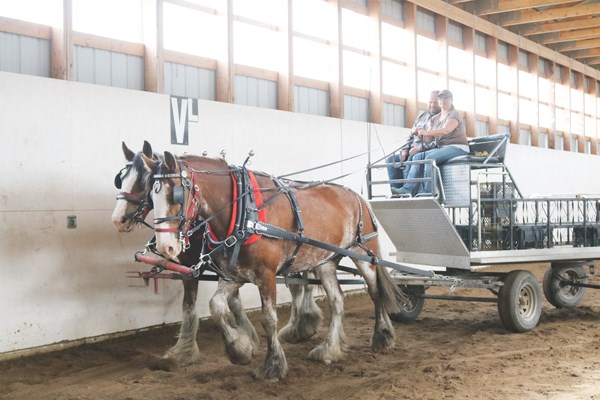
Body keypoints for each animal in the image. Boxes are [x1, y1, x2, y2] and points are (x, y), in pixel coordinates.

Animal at [143, 151, 400, 382]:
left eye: (176, 195)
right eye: (150, 197)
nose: (166, 247)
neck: (244, 212)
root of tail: (358, 196)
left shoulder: (266, 275)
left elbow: (269, 319)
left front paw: (273, 365)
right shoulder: (234, 274)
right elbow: (216, 306)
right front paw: (240, 349)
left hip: (363, 256)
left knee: (375, 293)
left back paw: (382, 337)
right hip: (325, 262)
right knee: (337, 301)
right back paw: (328, 349)